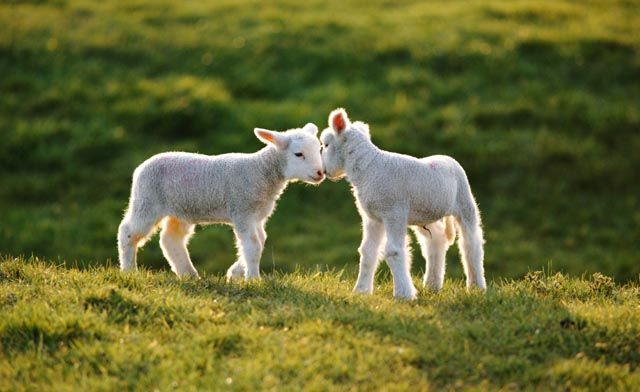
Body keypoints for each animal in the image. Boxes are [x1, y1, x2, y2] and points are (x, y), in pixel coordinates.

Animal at [116, 122, 324, 278]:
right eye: (299, 154)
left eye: (319, 149)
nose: (320, 173)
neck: (260, 171)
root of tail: (141, 167)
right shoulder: (242, 210)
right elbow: (253, 246)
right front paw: (253, 279)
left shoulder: (257, 216)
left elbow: (260, 241)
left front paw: (235, 273)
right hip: (147, 200)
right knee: (128, 232)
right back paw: (129, 271)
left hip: (180, 209)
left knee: (170, 239)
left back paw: (189, 274)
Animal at [320, 108, 484, 298]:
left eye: (326, 145)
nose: (323, 171)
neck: (368, 169)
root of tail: (447, 158)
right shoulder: (373, 217)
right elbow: (368, 251)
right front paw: (361, 291)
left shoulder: (393, 212)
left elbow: (393, 251)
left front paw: (403, 294)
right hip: (425, 213)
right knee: (436, 240)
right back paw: (432, 284)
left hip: (465, 202)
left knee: (471, 242)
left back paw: (477, 286)